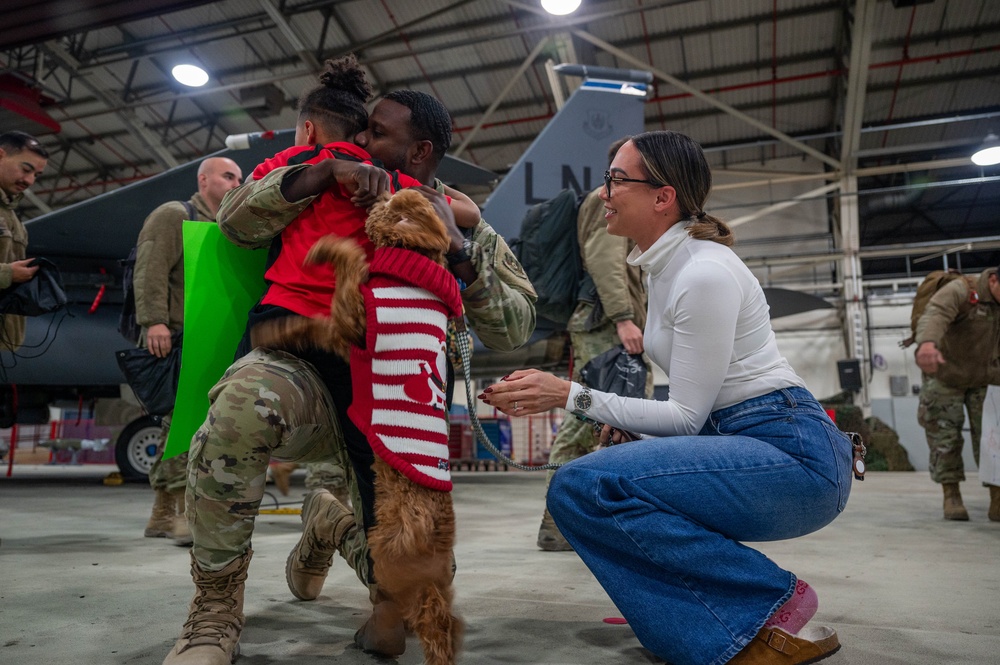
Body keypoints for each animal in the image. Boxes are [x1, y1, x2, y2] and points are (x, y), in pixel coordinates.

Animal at [254, 188, 464, 664]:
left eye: (390, 206)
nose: (378, 189)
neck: (415, 264)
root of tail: (431, 552)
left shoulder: (352, 320)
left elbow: (328, 298)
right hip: (436, 589)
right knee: (443, 625)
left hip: (385, 557)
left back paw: (376, 636)